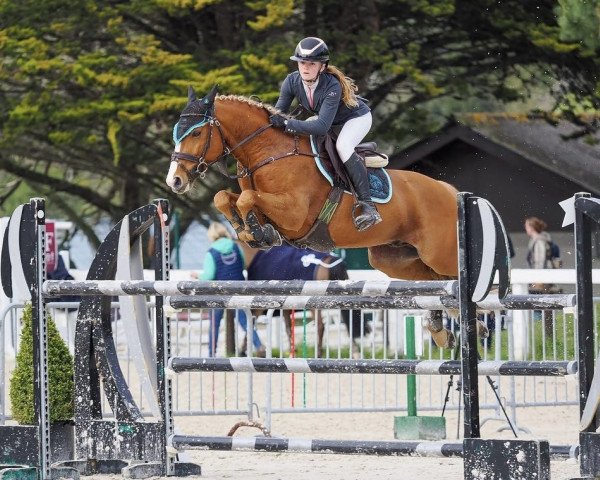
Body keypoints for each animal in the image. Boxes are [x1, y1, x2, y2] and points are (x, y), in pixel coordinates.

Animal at [238, 246, 366, 358]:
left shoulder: (260, 305)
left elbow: (251, 322)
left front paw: (244, 351)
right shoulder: (286, 306)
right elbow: (288, 328)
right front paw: (292, 352)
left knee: (320, 326)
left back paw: (318, 354)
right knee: (346, 325)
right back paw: (355, 353)